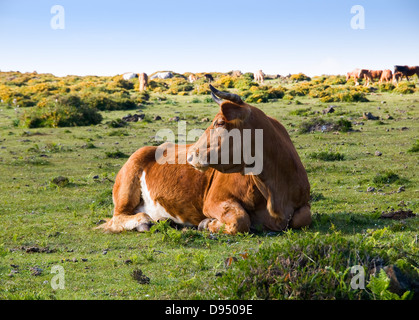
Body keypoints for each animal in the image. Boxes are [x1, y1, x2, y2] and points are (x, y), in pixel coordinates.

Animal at [97, 85, 310, 235]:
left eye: (220, 122)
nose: (191, 155)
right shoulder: (213, 200)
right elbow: (240, 220)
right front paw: (207, 224)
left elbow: (303, 218)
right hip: (127, 187)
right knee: (118, 218)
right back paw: (144, 221)